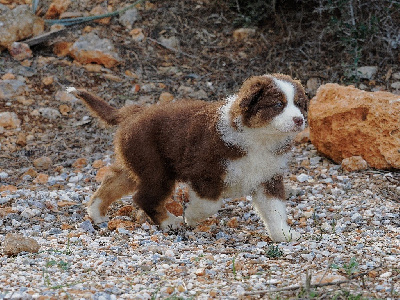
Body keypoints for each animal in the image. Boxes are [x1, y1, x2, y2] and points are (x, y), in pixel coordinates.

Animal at [67, 74, 308, 243]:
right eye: (278, 105)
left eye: (299, 104)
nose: (299, 120)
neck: (259, 139)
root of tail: (131, 113)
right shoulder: (205, 172)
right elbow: (210, 204)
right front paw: (191, 217)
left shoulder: (268, 177)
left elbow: (275, 209)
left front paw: (284, 235)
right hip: (156, 168)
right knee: (144, 198)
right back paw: (169, 222)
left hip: (138, 164)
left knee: (113, 181)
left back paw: (96, 212)